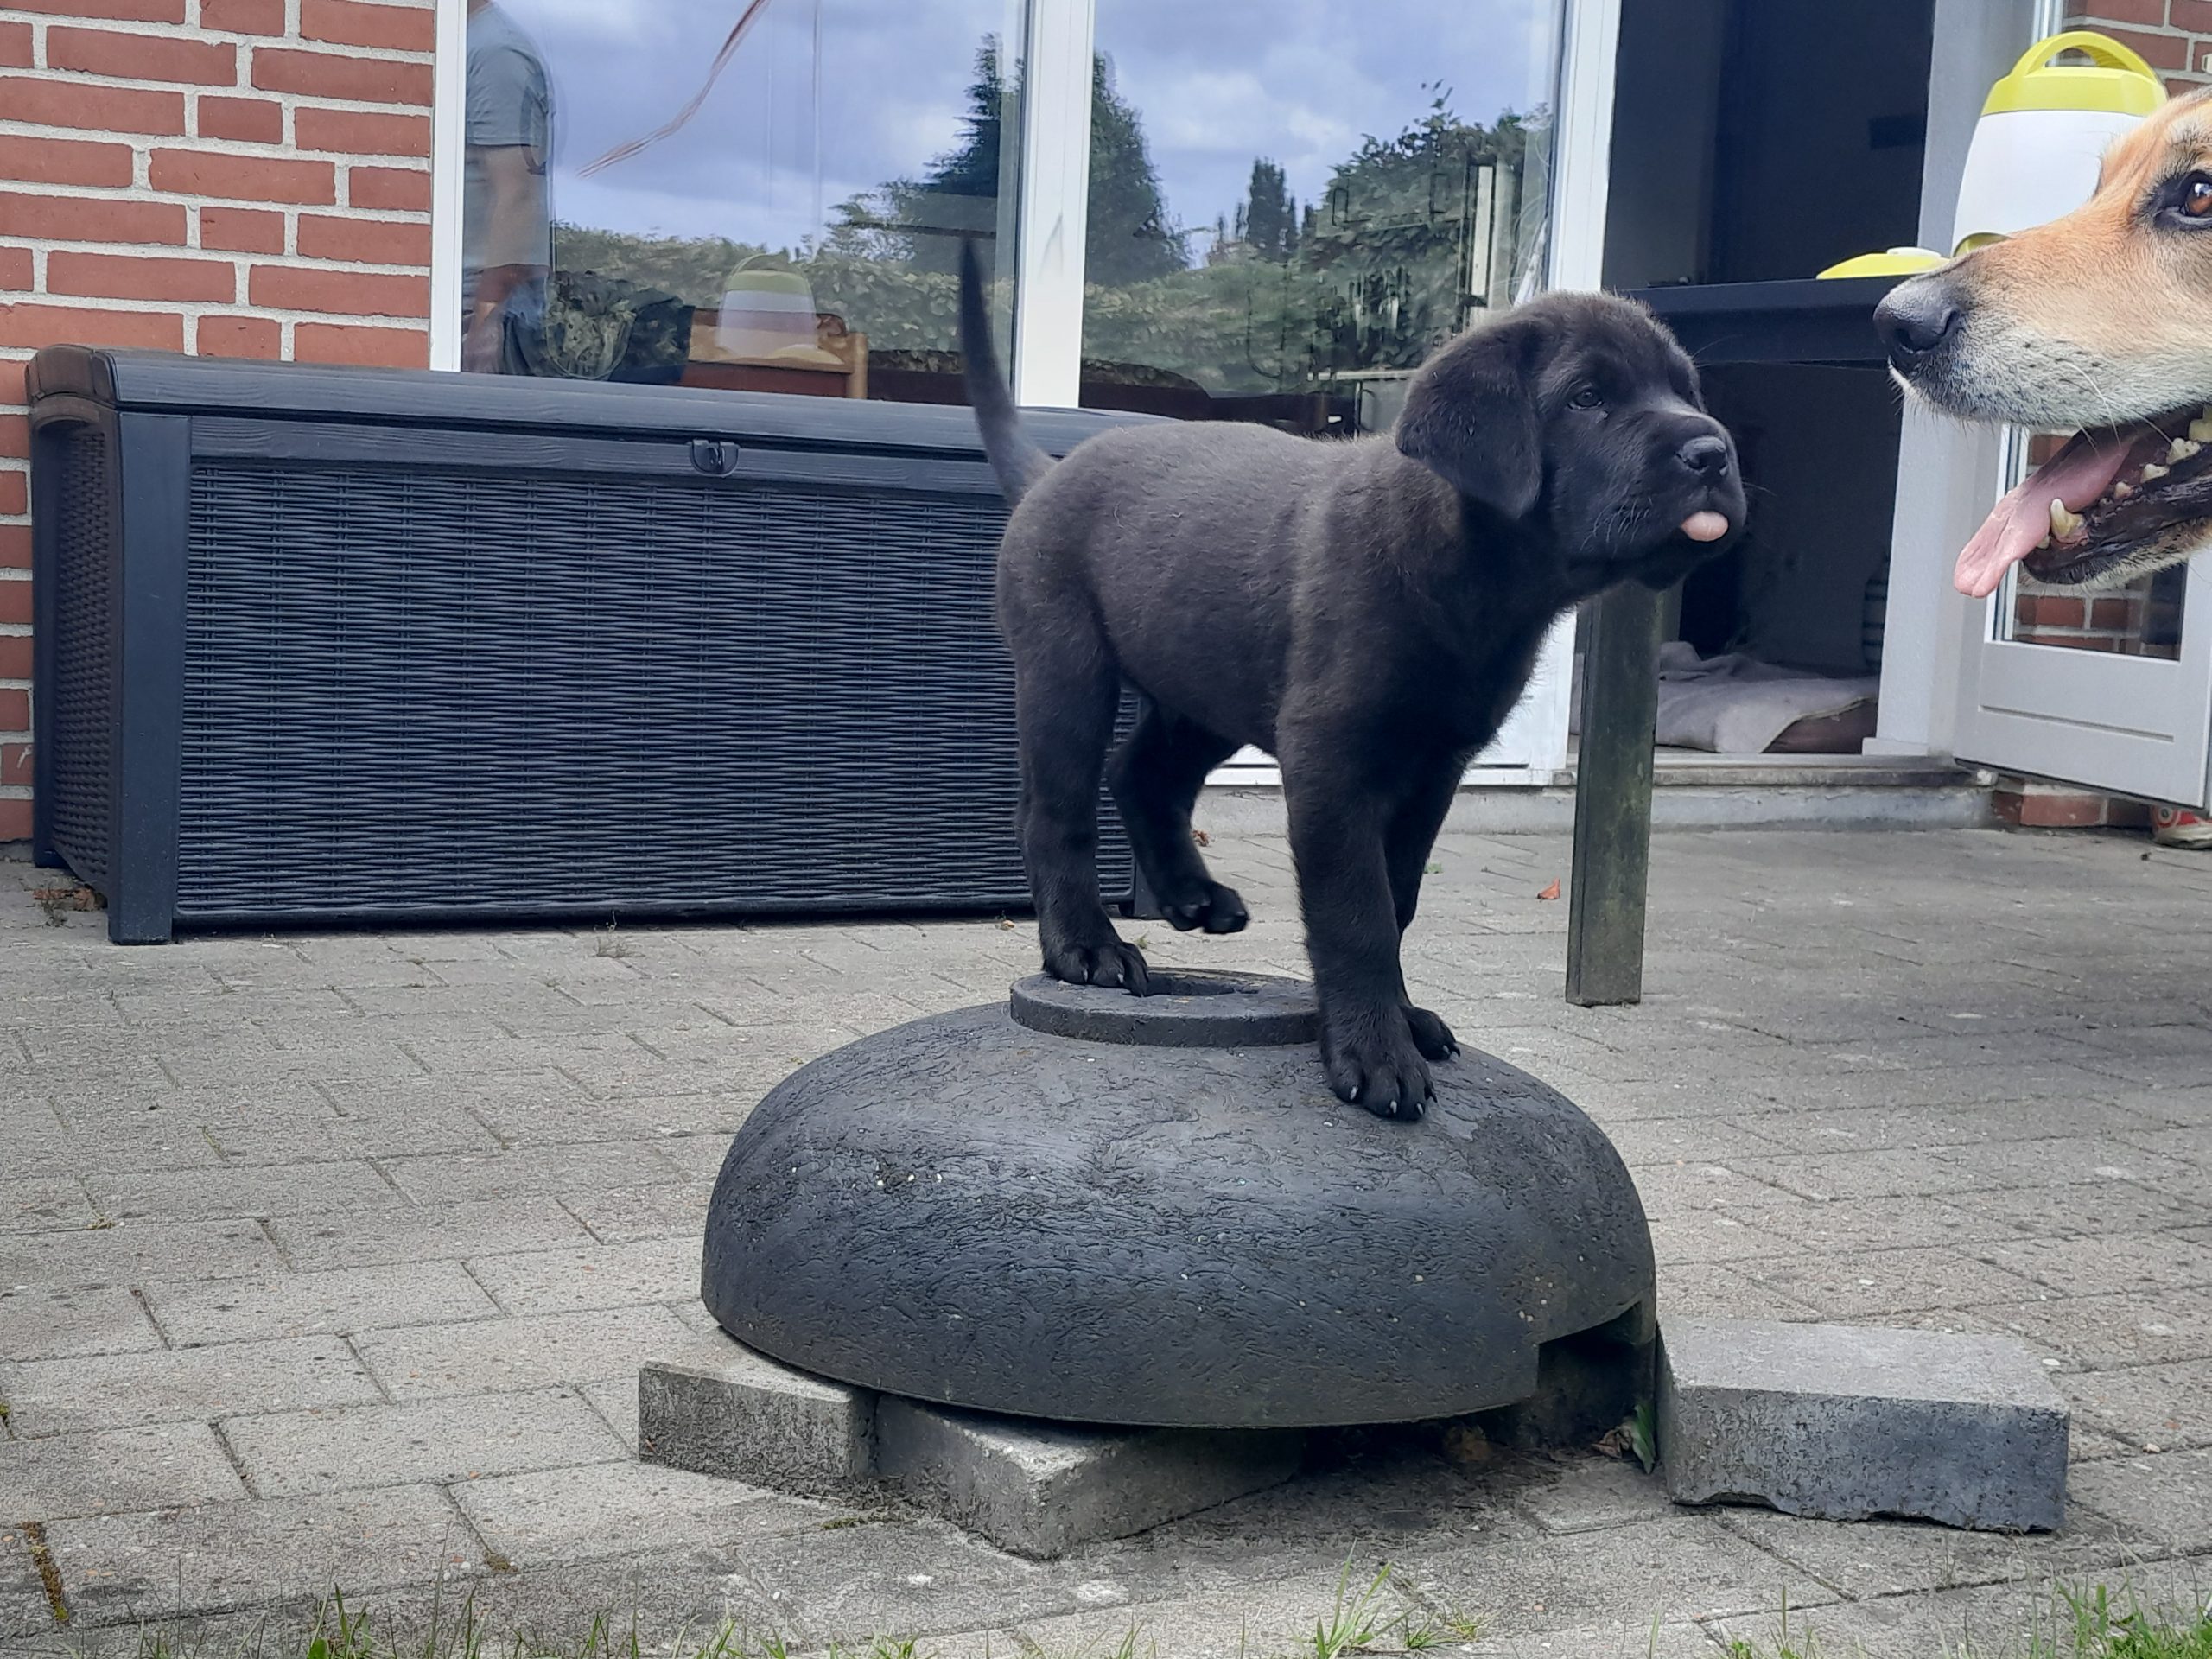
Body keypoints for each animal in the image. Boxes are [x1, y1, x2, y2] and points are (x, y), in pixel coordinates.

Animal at [959, 245, 1744, 1118]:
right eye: (1588, 398)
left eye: (1685, 390)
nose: (1713, 452)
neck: (1478, 582)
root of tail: (1046, 475)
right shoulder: (1333, 759)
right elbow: (1357, 914)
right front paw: (1375, 1051)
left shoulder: (1434, 767)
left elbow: (1397, 902)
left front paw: (1403, 1017)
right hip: (1067, 667)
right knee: (1055, 812)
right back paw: (1085, 947)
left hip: (1208, 682)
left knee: (1143, 772)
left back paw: (1191, 893)